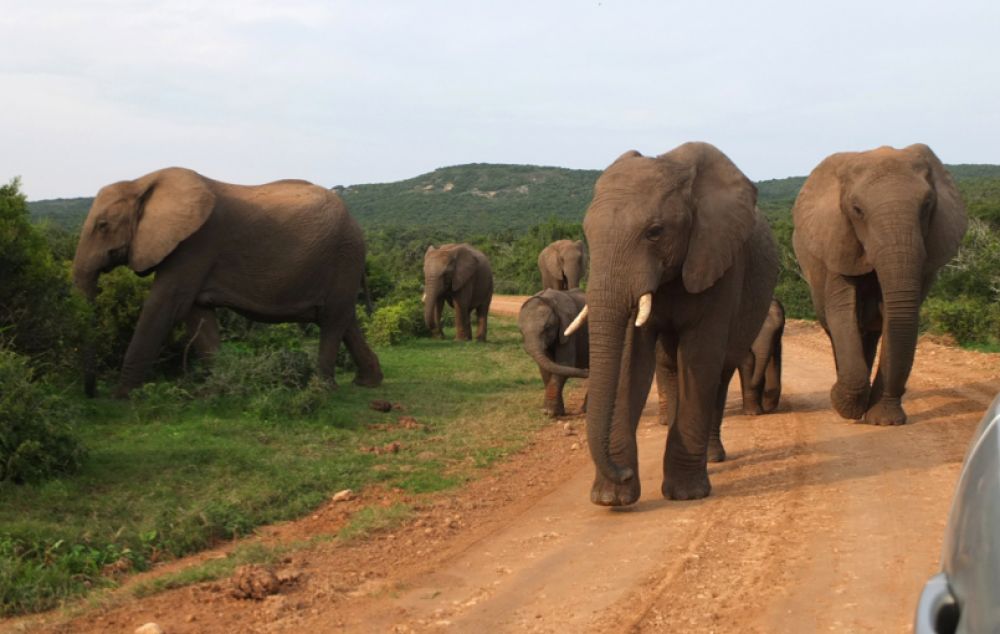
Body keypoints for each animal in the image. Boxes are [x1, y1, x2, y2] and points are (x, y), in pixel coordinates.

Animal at [70, 165, 382, 398]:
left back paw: (321, 390)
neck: (141, 182)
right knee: (344, 319)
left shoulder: (195, 245)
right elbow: (197, 315)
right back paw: (367, 383)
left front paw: (121, 398)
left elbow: (164, 306)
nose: (92, 394)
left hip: (344, 256)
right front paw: (217, 390)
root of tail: (356, 224)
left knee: (332, 321)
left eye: (103, 226)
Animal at [520, 288, 588, 418]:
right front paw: (552, 412)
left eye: (547, 327)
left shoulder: (568, 328)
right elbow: (547, 368)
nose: (586, 371)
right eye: (521, 331)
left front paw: (550, 412)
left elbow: (564, 364)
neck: (549, 299)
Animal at [652, 298, 784, 428]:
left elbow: (774, 361)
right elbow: (747, 362)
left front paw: (762, 409)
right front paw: (753, 413)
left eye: (778, 331)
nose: (767, 408)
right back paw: (666, 421)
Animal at [788, 144, 968, 424]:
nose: (832, 394)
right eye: (857, 209)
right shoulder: (837, 241)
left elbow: (895, 319)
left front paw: (885, 421)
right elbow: (842, 312)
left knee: (870, 333)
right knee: (836, 327)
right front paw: (843, 404)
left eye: (927, 205)